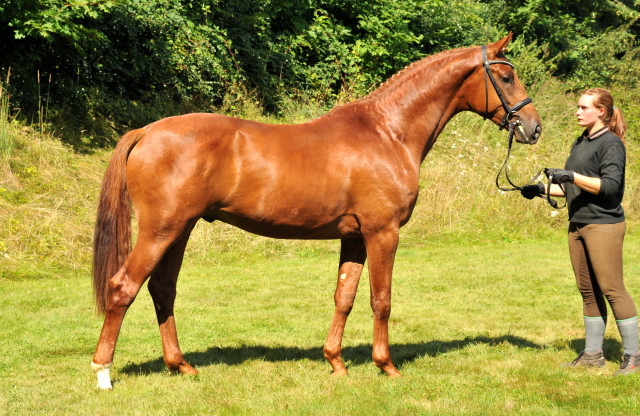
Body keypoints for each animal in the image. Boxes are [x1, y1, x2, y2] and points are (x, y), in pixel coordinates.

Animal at [90, 33, 540, 390]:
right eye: (505, 77)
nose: (533, 127)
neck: (388, 132)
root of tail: (147, 131)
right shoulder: (383, 232)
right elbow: (381, 299)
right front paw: (386, 366)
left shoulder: (355, 237)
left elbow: (345, 296)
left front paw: (336, 363)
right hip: (160, 230)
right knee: (123, 288)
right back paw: (103, 372)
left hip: (179, 230)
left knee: (162, 290)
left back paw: (181, 366)